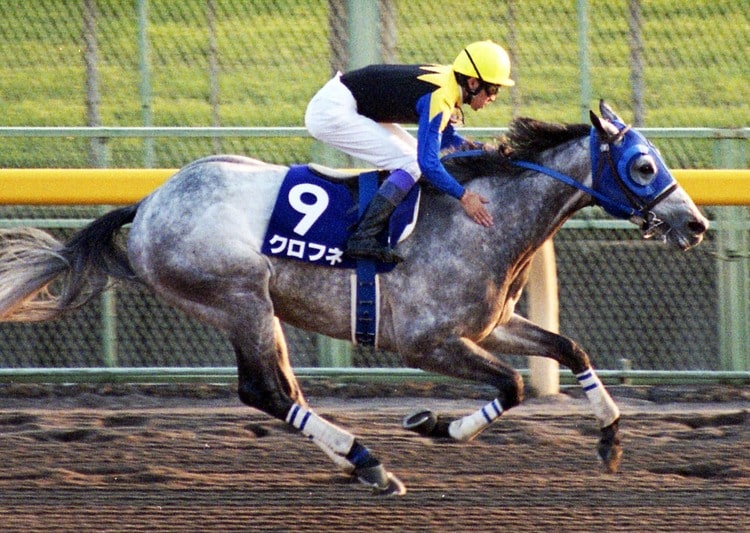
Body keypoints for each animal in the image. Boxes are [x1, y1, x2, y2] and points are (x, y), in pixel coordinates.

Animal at [0, 101, 708, 494]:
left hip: (248, 307)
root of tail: (148, 203)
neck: (482, 217)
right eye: (643, 165)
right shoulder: (424, 342)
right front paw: (433, 424)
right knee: (266, 392)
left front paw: (611, 437)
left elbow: (567, 349)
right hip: (239, 299)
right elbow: (511, 386)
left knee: (277, 390)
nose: (696, 224)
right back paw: (368, 463)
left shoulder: (490, 324)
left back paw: (356, 461)